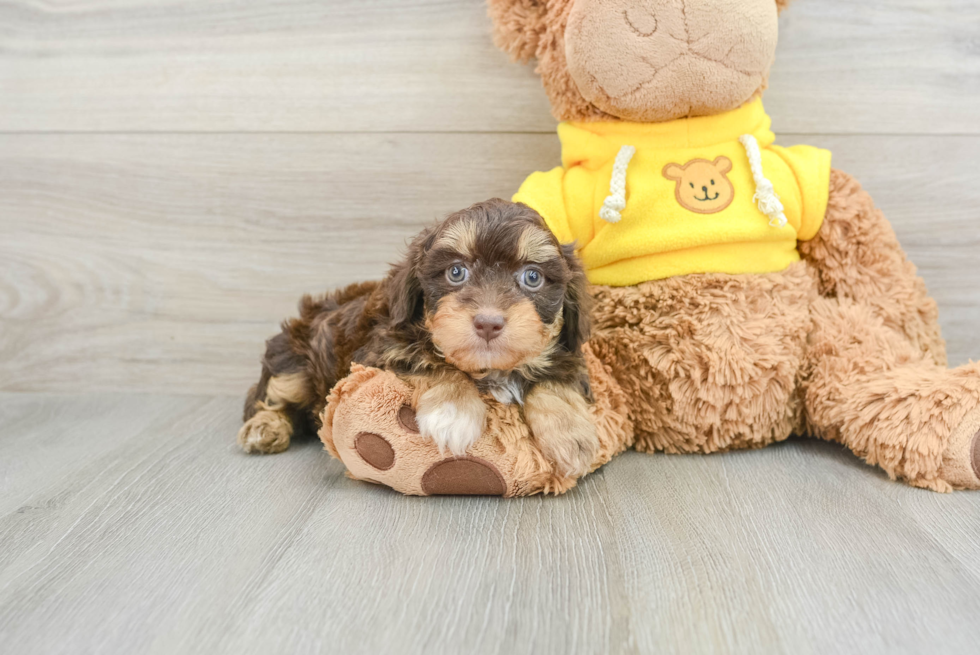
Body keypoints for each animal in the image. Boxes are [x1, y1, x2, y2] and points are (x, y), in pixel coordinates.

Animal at [241, 199, 600, 476]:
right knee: (274, 395)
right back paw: (265, 427)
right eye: (456, 272)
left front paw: (572, 436)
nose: (488, 323)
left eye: (532, 277)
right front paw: (454, 413)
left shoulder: (568, 351)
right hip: (294, 358)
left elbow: (555, 379)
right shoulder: (384, 348)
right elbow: (432, 361)